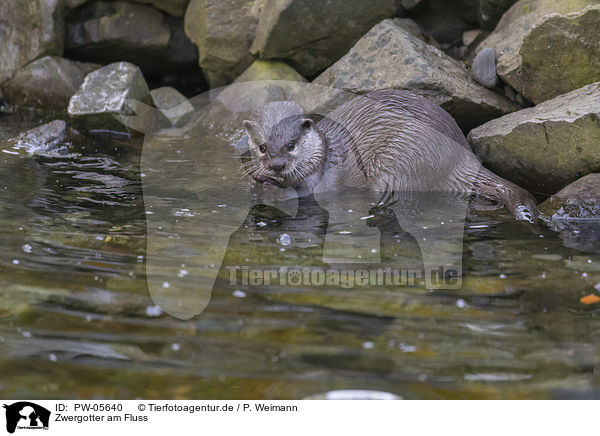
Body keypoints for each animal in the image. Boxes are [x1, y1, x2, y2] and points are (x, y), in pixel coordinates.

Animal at [241, 90, 536, 223]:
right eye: (262, 147)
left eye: (291, 145)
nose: (277, 166)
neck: (323, 153)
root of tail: (462, 156)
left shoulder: (320, 179)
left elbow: (303, 194)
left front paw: (268, 186)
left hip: (402, 157)